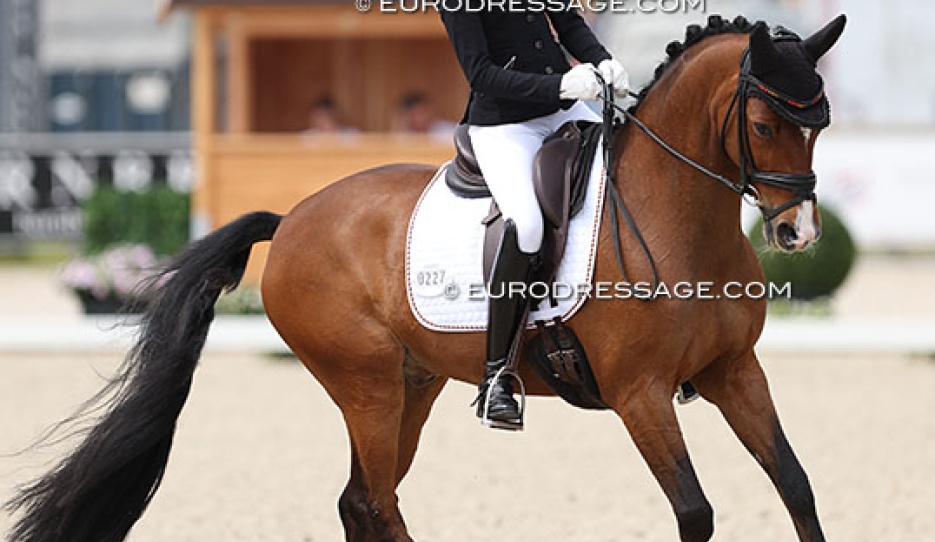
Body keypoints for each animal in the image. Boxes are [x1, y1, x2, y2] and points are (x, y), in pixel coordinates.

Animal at [6, 14, 846, 542]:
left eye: (821, 122)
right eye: (764, 123)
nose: (796, 234)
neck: (674, 217)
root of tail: (294, 216)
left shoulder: (736, 370)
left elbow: (797, 485)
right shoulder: (639, 393)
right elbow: (695, 512)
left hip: (414, 384)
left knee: (359, 502)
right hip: (366, 386)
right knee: (375, 504)